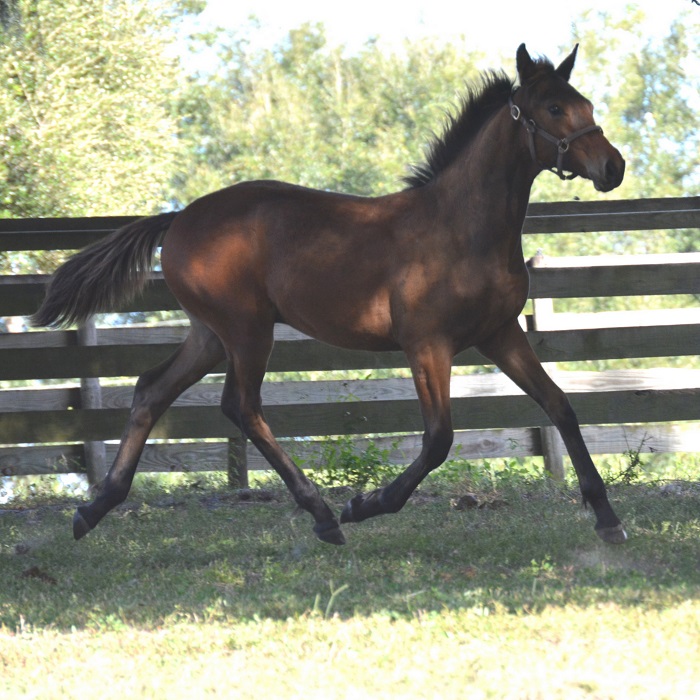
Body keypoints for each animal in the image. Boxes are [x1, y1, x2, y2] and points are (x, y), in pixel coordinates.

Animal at [31, 43, 628, 548]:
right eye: (554, 107)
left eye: (586, 103)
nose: (613, 166)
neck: (463, 226)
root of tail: (178, 218)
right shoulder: (426, 345)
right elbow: (438, 438)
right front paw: (366, 504)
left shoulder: (500, 335)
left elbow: (561, 406)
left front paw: (607, 517)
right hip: (247, 331)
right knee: (240, 406)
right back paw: (322, 514)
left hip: (211, 335)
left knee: (152, 391)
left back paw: (94, 508)